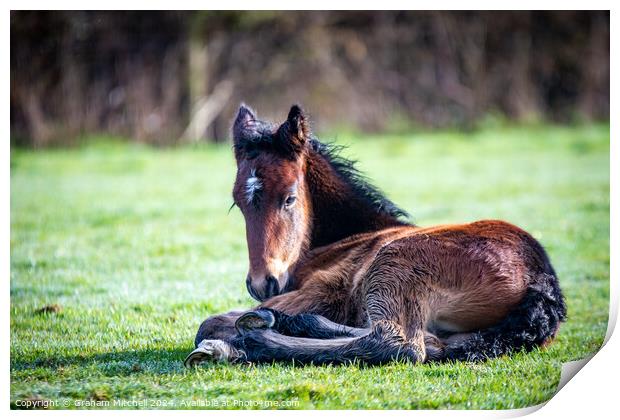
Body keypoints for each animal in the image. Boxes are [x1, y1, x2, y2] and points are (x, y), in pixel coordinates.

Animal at [182, 105, 564, 368]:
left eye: (289, 198)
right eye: (238, 203)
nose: (263, 283)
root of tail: (542, 280)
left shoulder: (324, 290)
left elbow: (209, 322)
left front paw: (232, 336)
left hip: (395, 265)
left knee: (398, 344)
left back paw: (258, 335)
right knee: (430, 343)